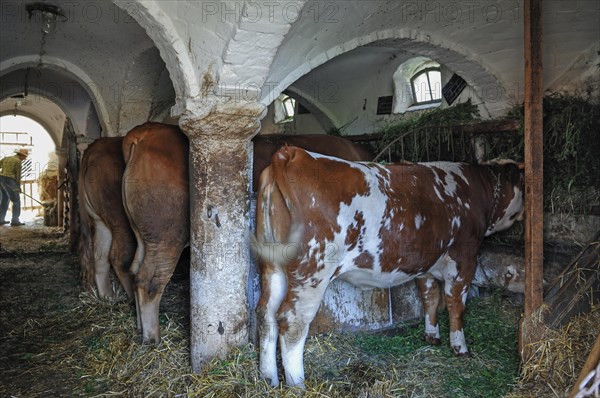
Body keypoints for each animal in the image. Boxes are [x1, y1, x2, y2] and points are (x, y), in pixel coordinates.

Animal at [120, 123, 376, 344]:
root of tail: (144, 132)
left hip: (144, 236)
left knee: (134, 271)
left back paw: (140, 328)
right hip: (166, 234)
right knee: (149, 280)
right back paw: (151, 337)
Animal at [254, 145, 524, 386]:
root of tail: (291, 153)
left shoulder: (424, 264)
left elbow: (430, 298)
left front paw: (431, 336)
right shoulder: (464, 258)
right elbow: (456, 304)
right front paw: (460, 347)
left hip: (272, 266)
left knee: (266, 313)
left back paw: (270, 379)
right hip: (312, 272)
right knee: (292, 321)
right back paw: (297, 384)